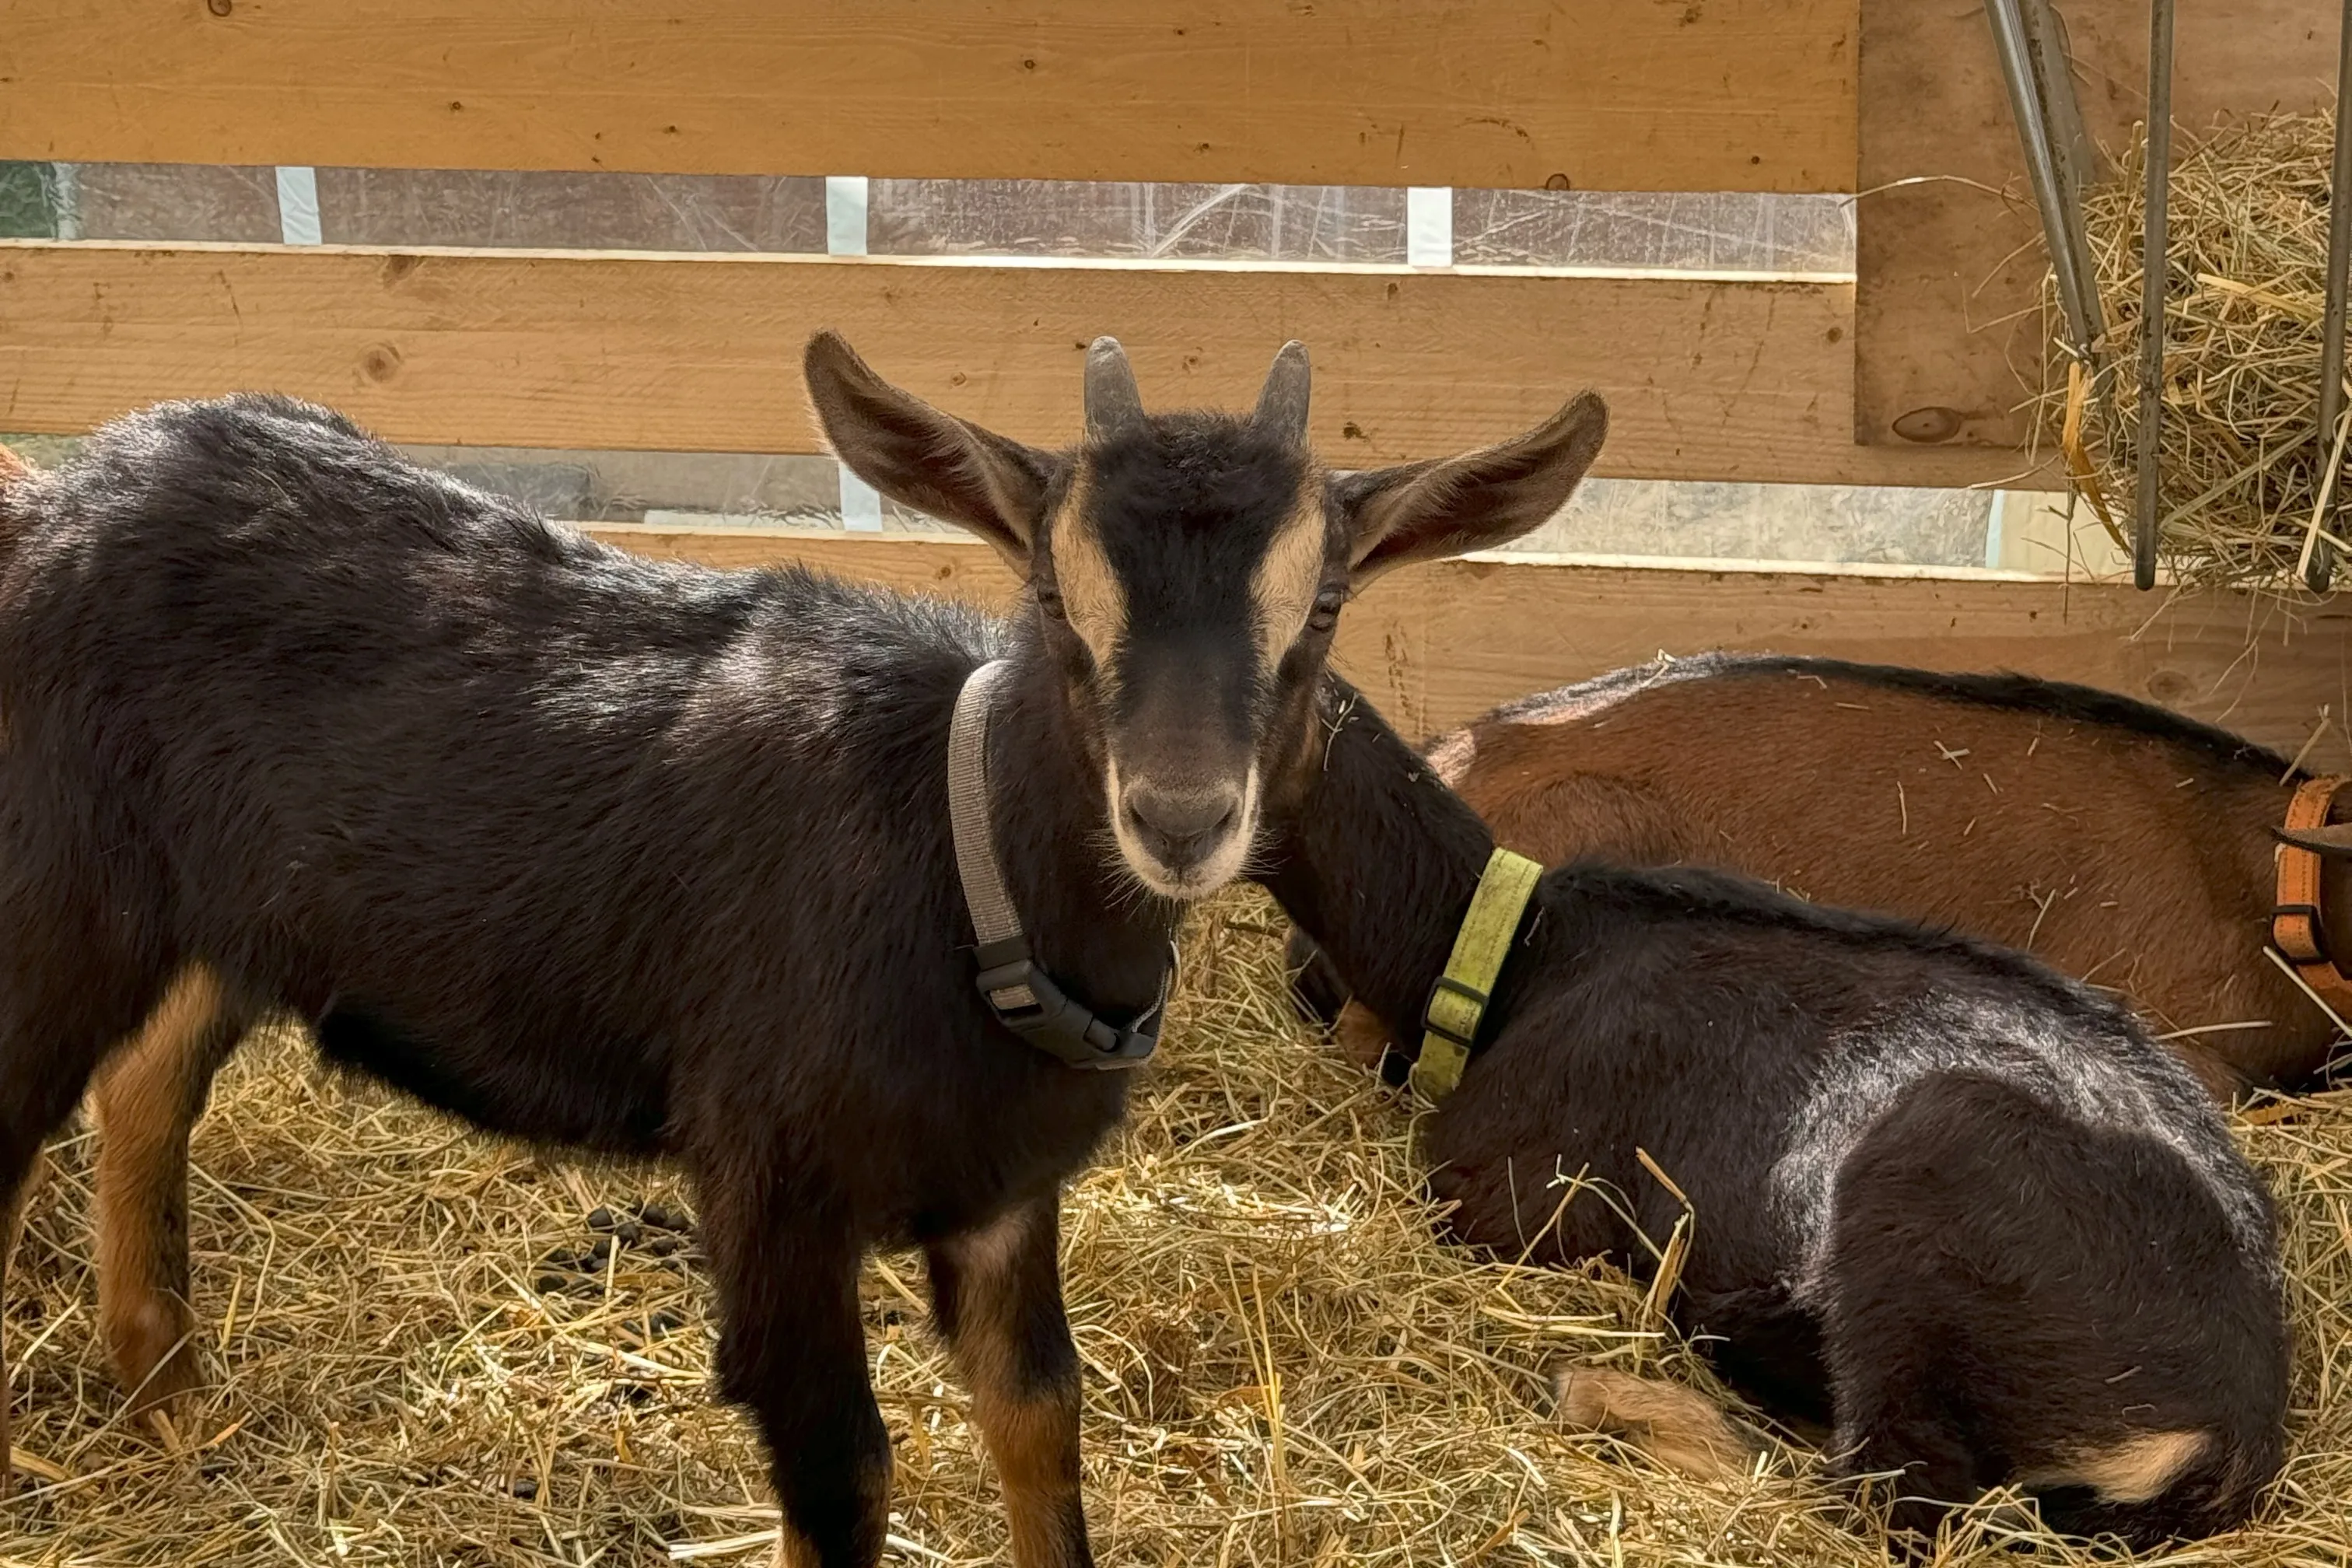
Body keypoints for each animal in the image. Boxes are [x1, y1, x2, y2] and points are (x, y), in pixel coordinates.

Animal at [0, 343, 1605, 1568]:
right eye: (1051, 592)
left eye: (1320, 604)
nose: (1179, 812)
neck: (956, 871)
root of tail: (63, 492)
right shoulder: (769, 1183)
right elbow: (842, 1476)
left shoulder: (1001, 1195)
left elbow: (1039, 1415)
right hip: (55, 892)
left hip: (215, 918)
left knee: (144, 1088)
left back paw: (172, 1398)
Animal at [1257, 675, 2288, 1549]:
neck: (1523, 952)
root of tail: (2219, 1443)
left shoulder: (1506, 1198)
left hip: (1910, 1206)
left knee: (1880, 1497)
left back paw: (1600, 1392)